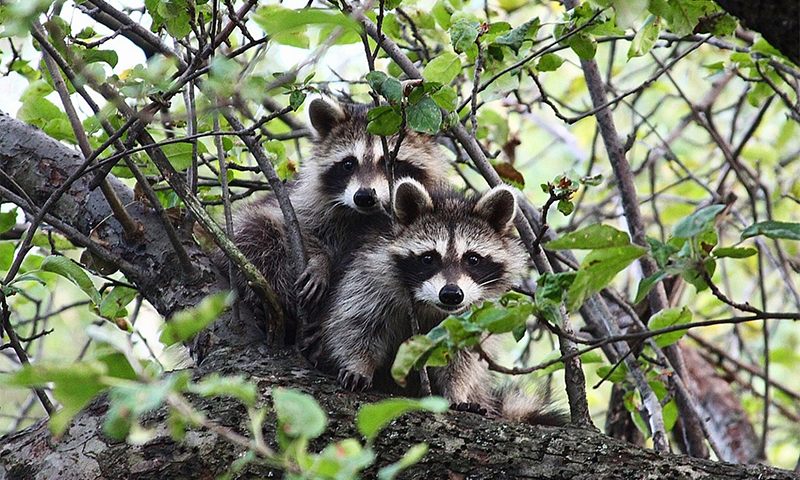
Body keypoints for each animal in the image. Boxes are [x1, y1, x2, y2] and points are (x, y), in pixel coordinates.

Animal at [228, 96, 450, 338]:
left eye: (389, 163)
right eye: (348, 164)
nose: (364, 197)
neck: (365, 216)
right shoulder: (301, 203)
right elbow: (293, 226)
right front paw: (319, 260)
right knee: (257, 231)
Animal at [304, 179, 564, 424]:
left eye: (472, 259)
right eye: (429, 258)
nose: (451, 294)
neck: (429, 305)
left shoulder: (475, 312)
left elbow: (462, 356)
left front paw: (457, 390)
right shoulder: (369, 276)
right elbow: (355, 323)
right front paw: (358, 364)